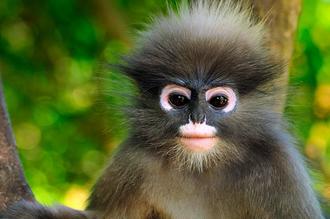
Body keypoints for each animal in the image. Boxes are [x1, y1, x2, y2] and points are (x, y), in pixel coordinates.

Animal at [0, 0, 324, 219]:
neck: (201, 166)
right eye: (178, 100)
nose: (197, 118)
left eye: (219, 101)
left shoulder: (280, 167)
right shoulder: (131, 162)